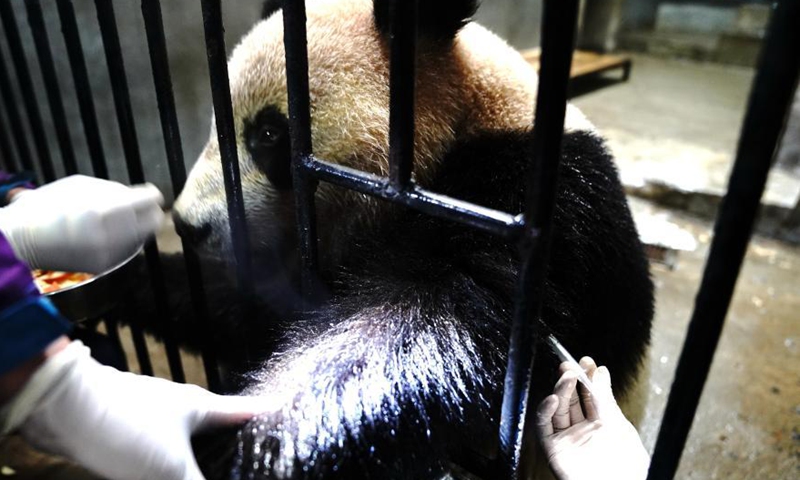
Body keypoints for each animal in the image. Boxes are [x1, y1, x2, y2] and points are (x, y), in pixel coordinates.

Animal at [120, 0, 656, 478]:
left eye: (268, 133)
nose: (189, 225)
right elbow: (263, 311)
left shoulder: (533, 203)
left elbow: (427, 324)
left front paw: (249, 443)